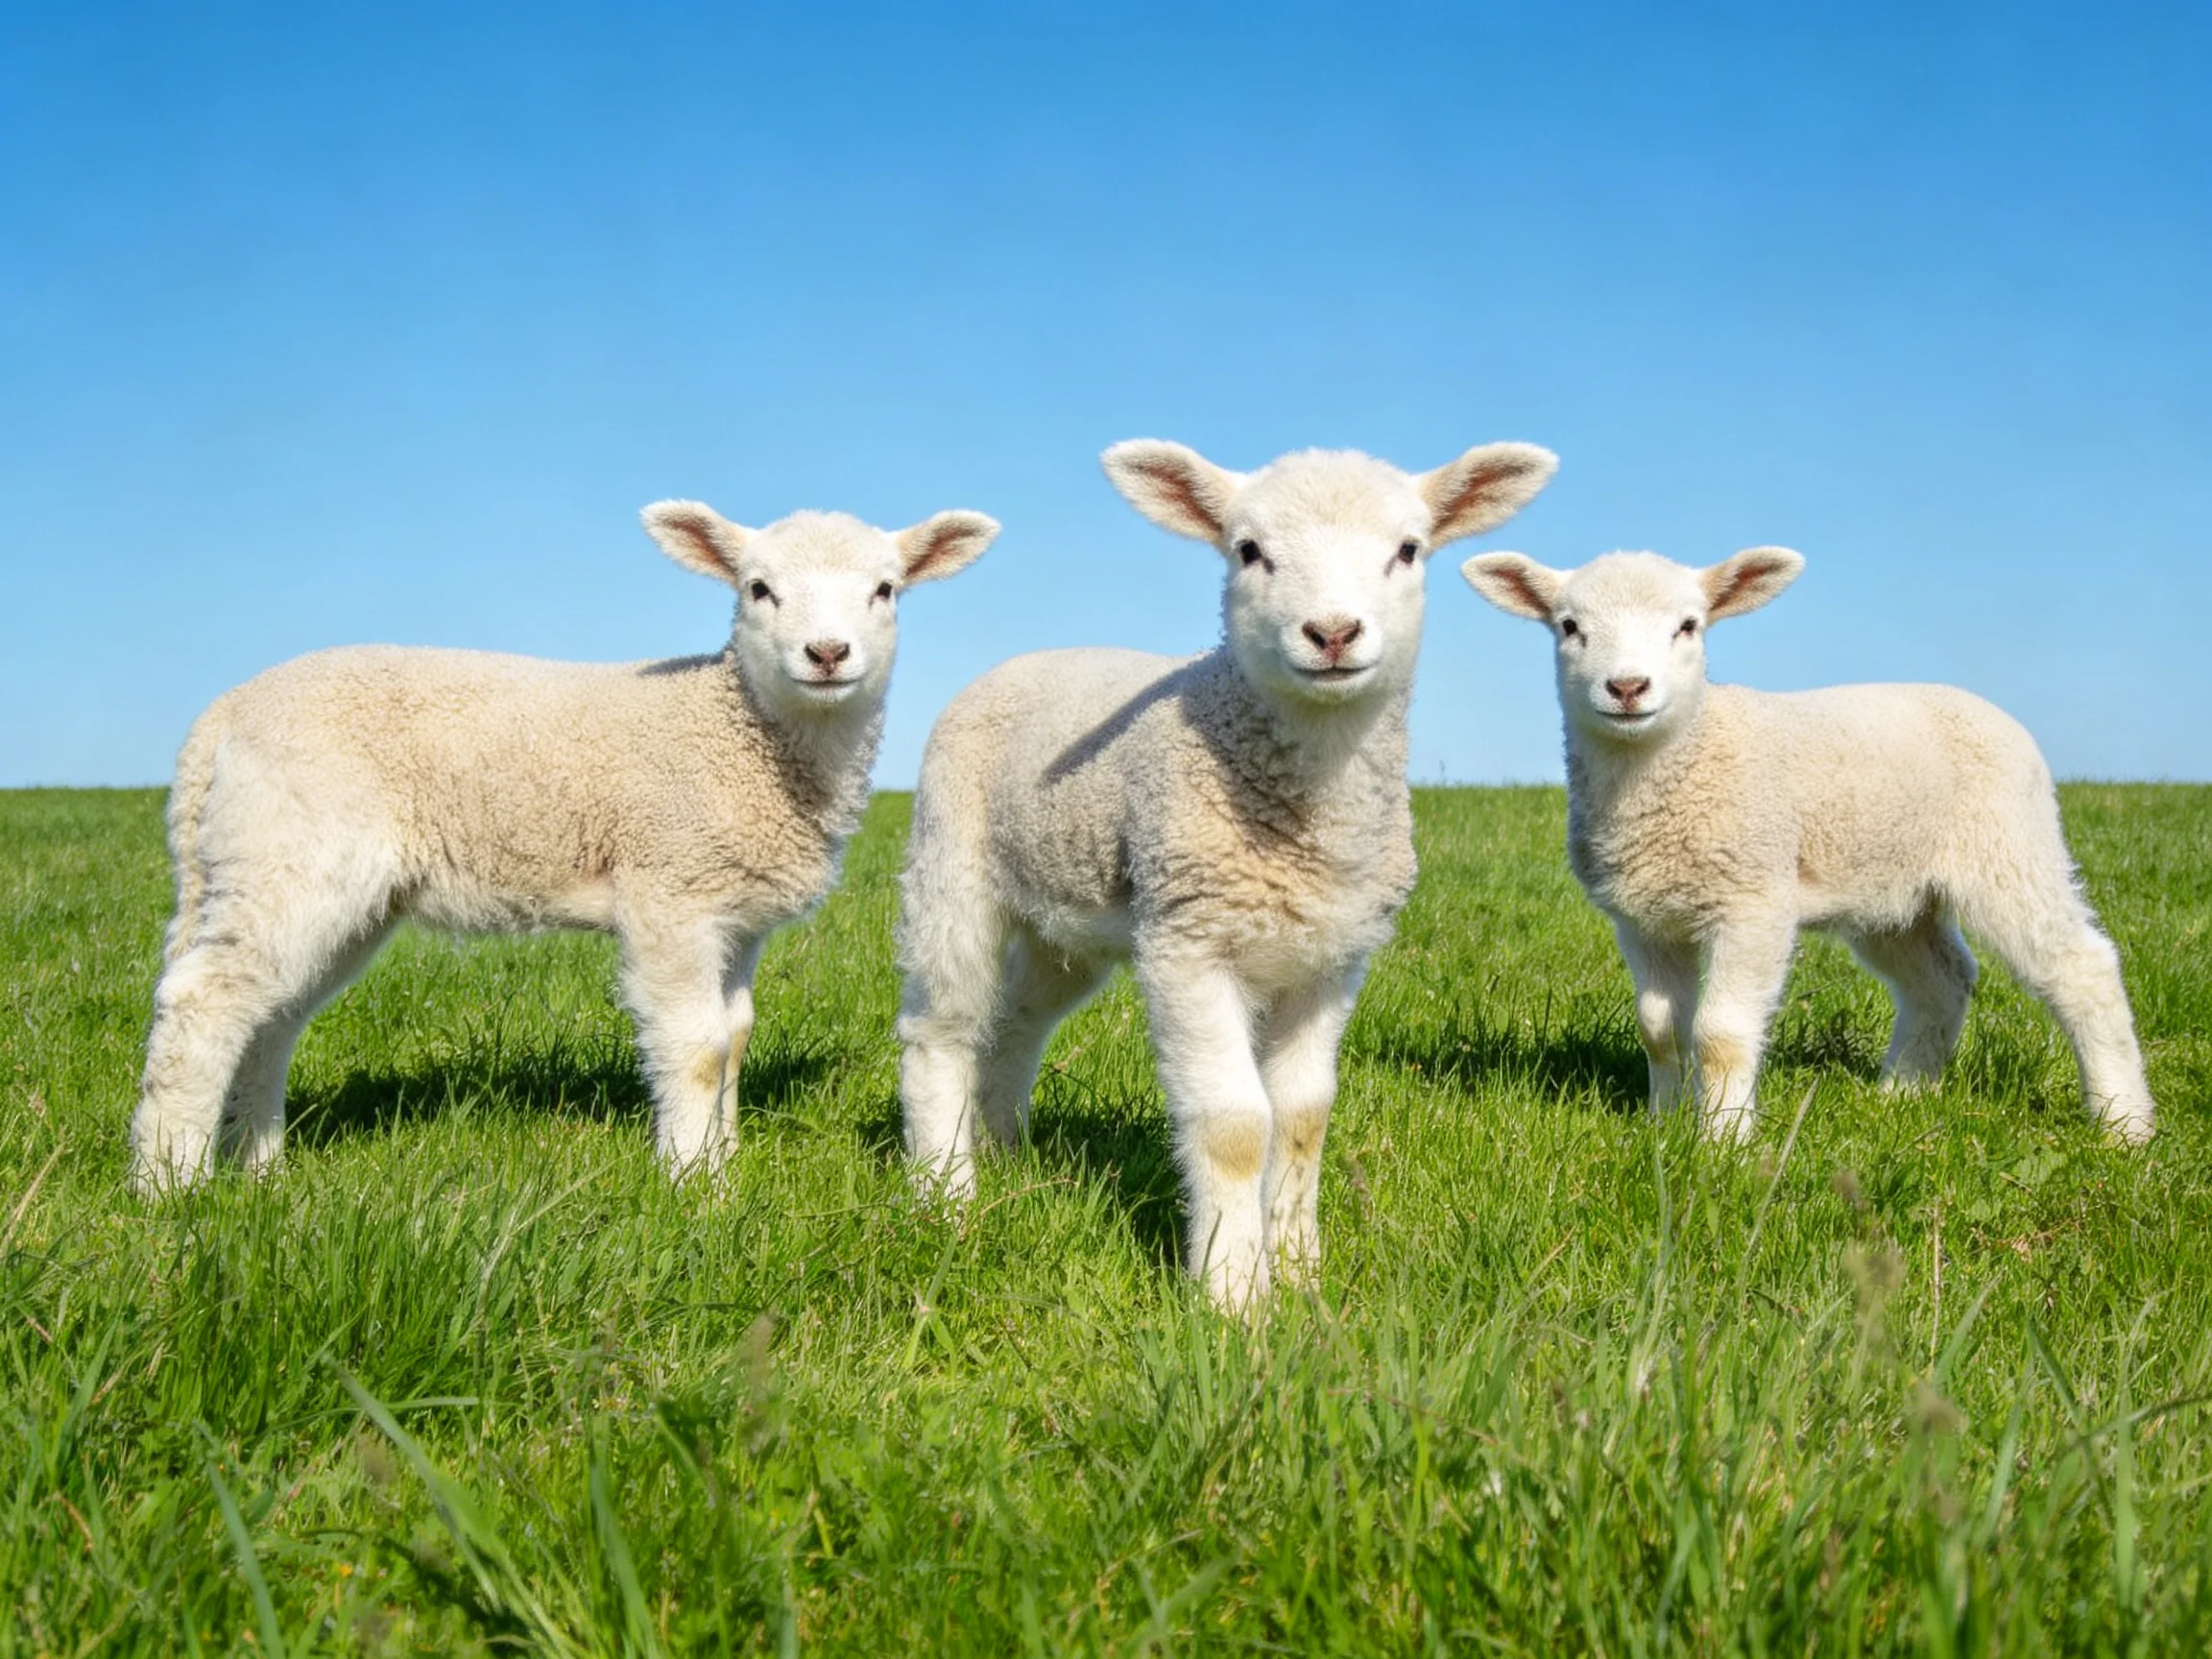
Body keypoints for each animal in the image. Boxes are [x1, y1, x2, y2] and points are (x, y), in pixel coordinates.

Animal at [131, 500, 998, 1189]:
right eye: (757, 589)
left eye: (885, 590)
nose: (827, 654)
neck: (743, 733)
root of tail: (221, 718)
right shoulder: (669, 887)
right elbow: (695, 1047)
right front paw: (694, 1185)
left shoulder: (735, 911)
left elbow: (734, 1038)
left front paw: (725, 1161)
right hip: (292, 851)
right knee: (203, 1003)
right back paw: (170, 1187)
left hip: (309, 879)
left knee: (269, 1017)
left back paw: (260, 1171)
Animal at [896, 438, 1558, 1307]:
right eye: (1248, 551)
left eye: (1409, 550)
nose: (1333, 632)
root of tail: (1029, 657)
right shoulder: (1190, 943)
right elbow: (1236, 1125)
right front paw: (1235, 1294)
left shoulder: (1331, 958)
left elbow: (1304, 1116)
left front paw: (1303, 1275)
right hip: (951, 863)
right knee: (940, 1031)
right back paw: (946, 1200)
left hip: (1063, 924)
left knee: (1012, 1024)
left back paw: (1005, 1157)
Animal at [1460, 545, 2157, 1144]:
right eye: (1569, 626)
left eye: (1689, 626)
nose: (1628, 688)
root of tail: (1987, 709)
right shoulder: (1644, 919)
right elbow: (1659, 1029)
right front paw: (1664, 1125)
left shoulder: (1753, 901)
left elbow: (1719, 1034)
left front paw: (1722, 1143)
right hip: (1895, 894)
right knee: (1942, 980)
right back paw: (1903, 1094)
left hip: (2009, 848)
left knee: (2082, 967)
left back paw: (2124, 1124)